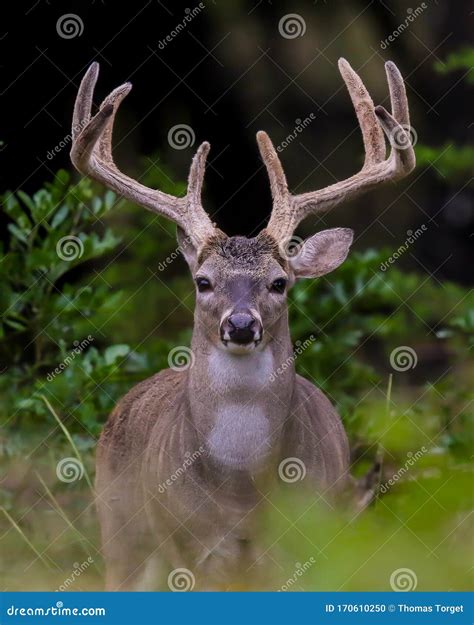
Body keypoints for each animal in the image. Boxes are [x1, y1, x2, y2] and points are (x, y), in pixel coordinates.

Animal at [70, 58, 414, 588]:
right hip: (120, 533)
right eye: (203, 281)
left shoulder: (309, 541)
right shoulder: (192, 549)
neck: (241, 495)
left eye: (279, 282)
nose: (240, 326)